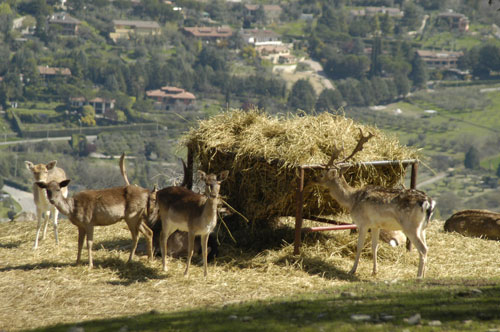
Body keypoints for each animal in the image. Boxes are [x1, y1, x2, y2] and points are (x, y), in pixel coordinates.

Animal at [314, 128, 436, 278]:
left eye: (322, 174)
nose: (314, 178)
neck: (352, 200)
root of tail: (428, 203)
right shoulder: (376, 225)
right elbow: (374, 246)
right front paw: (374, 271)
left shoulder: (363, 222)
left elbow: (359, 246)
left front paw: (352, 270)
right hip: (423, 227)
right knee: (427, 248)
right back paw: (423, 276)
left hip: (410, 226)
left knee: (423, 249)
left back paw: (418, 277)